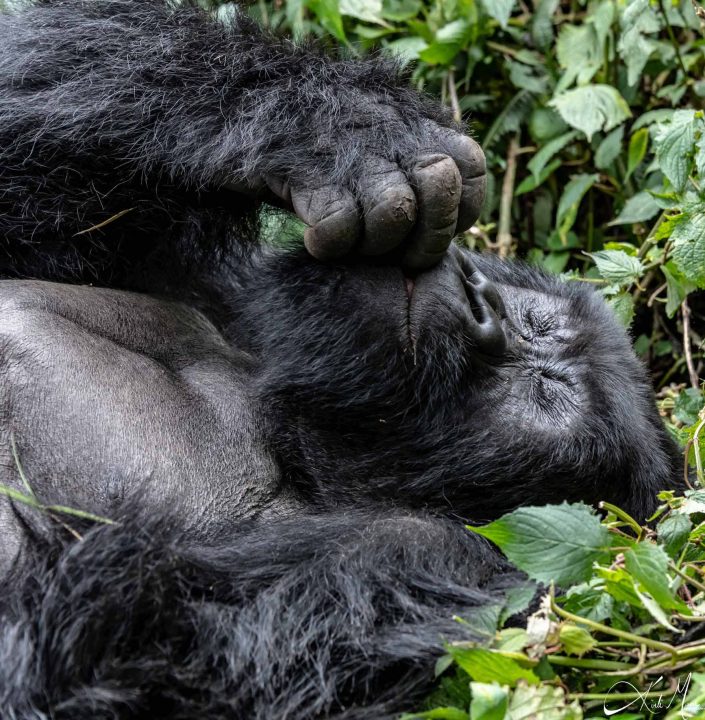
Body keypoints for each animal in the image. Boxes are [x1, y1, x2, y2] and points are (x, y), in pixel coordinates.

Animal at [0, 1, 680, 720]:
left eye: (546, 392)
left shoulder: (440, 569)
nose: (482, 304)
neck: (283, 432)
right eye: (532, 319)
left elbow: (128, 653)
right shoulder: (214, 291)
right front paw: (347, 128)